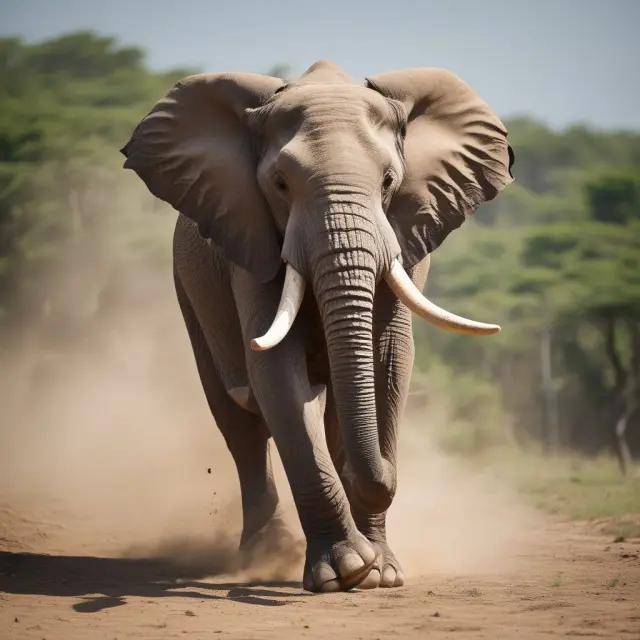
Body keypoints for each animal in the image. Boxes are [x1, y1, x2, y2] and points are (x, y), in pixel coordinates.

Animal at [120, 60, 514, 593]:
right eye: (280, 185)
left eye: (389, 181)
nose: (385, 479)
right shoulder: (249, 235)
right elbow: (276, 370)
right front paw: (343, 572)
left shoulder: (407, 236)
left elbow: (389, 361)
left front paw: (381, 573)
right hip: (188, 289)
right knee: (238, 422)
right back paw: (265, 553)